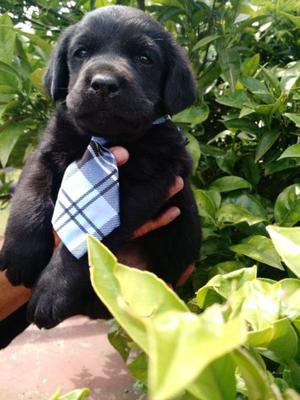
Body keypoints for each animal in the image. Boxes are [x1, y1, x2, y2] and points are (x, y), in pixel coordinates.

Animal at [0, 6, 202, 330]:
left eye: (145, 58)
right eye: (81, 52)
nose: (104, 83)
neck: (106, 139)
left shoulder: (148, 181)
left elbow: (87, 239)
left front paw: (51, 290)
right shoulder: (45, 150)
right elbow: (31, 191)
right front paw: (22, 252)